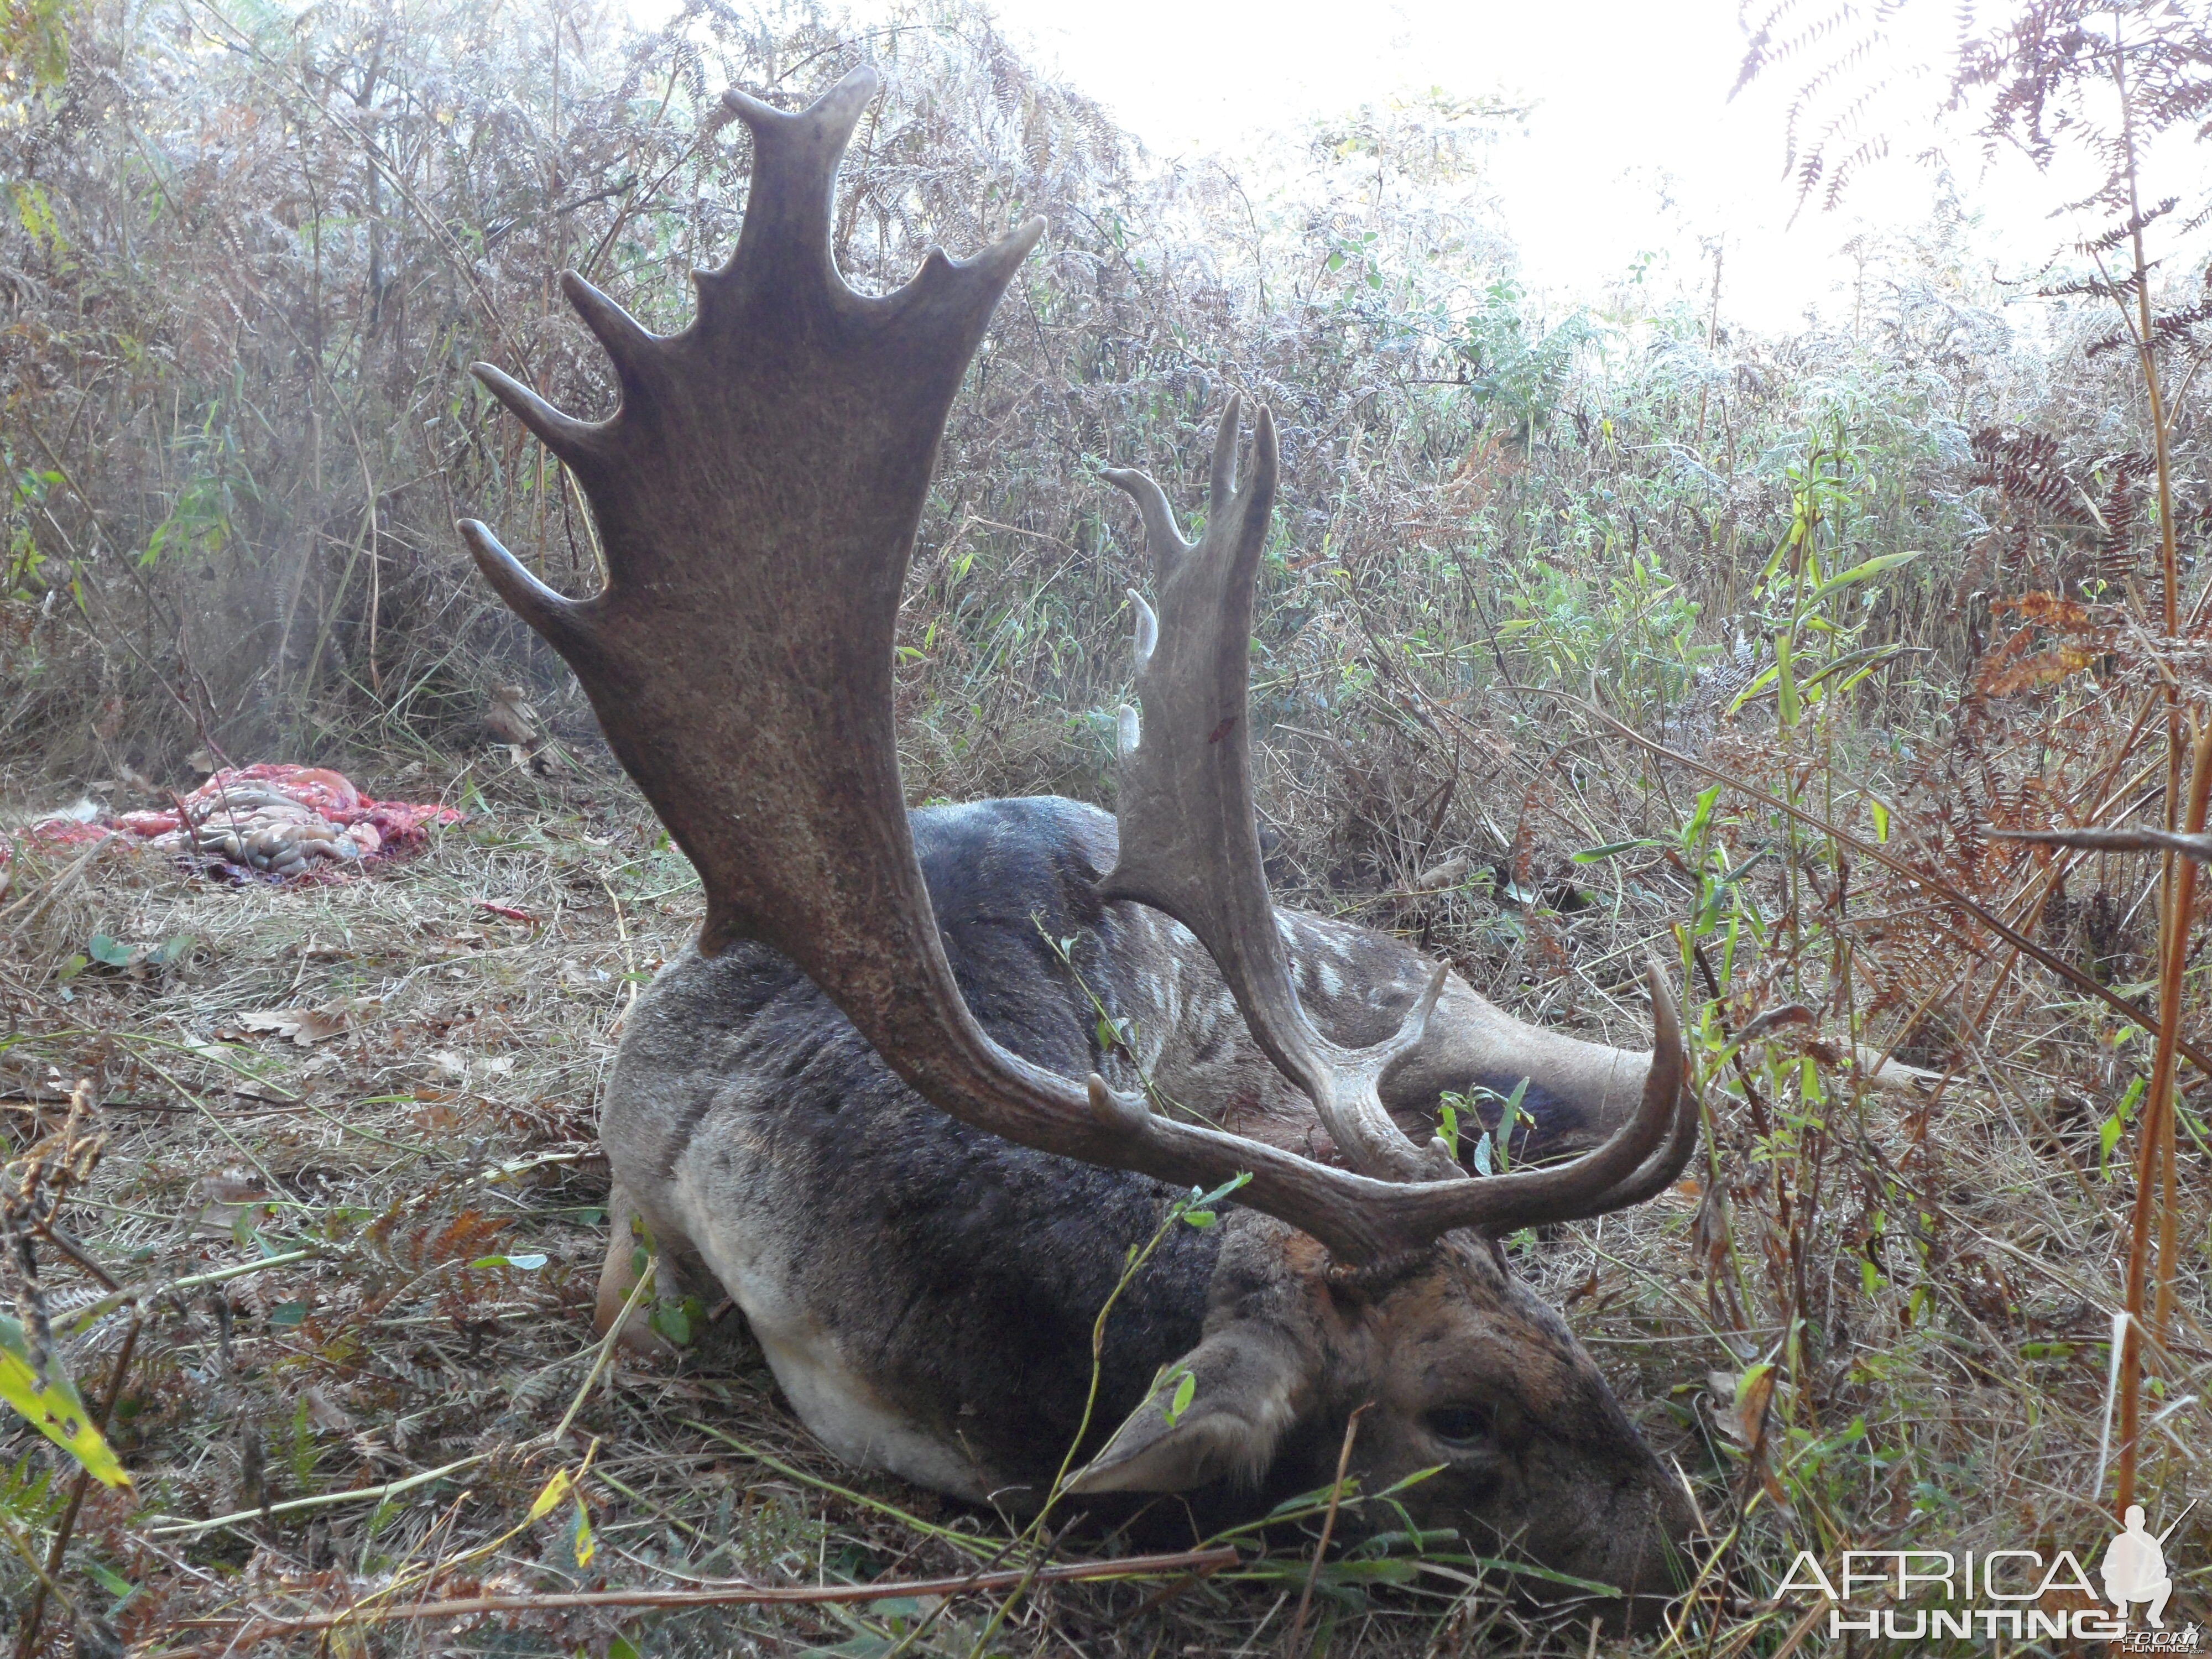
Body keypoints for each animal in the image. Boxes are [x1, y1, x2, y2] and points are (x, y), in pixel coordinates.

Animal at [458, 68, 1699, 1637]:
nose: (1685, 1530)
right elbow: (626, 1321)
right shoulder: (636, 1183)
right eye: (1462, 1411)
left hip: (1357, 975)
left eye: (1541, 1300)